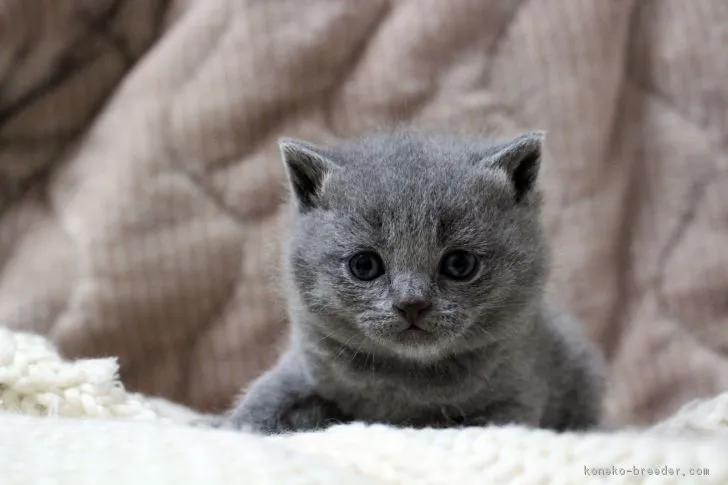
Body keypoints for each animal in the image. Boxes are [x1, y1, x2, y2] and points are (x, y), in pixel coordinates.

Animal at [225, 130, 604, 434]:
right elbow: (264, 397)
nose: (412, 303)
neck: (406, 381)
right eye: (364, 265)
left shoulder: (516, 397)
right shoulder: (305, 367)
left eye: (460, 264)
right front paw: (232, 425)